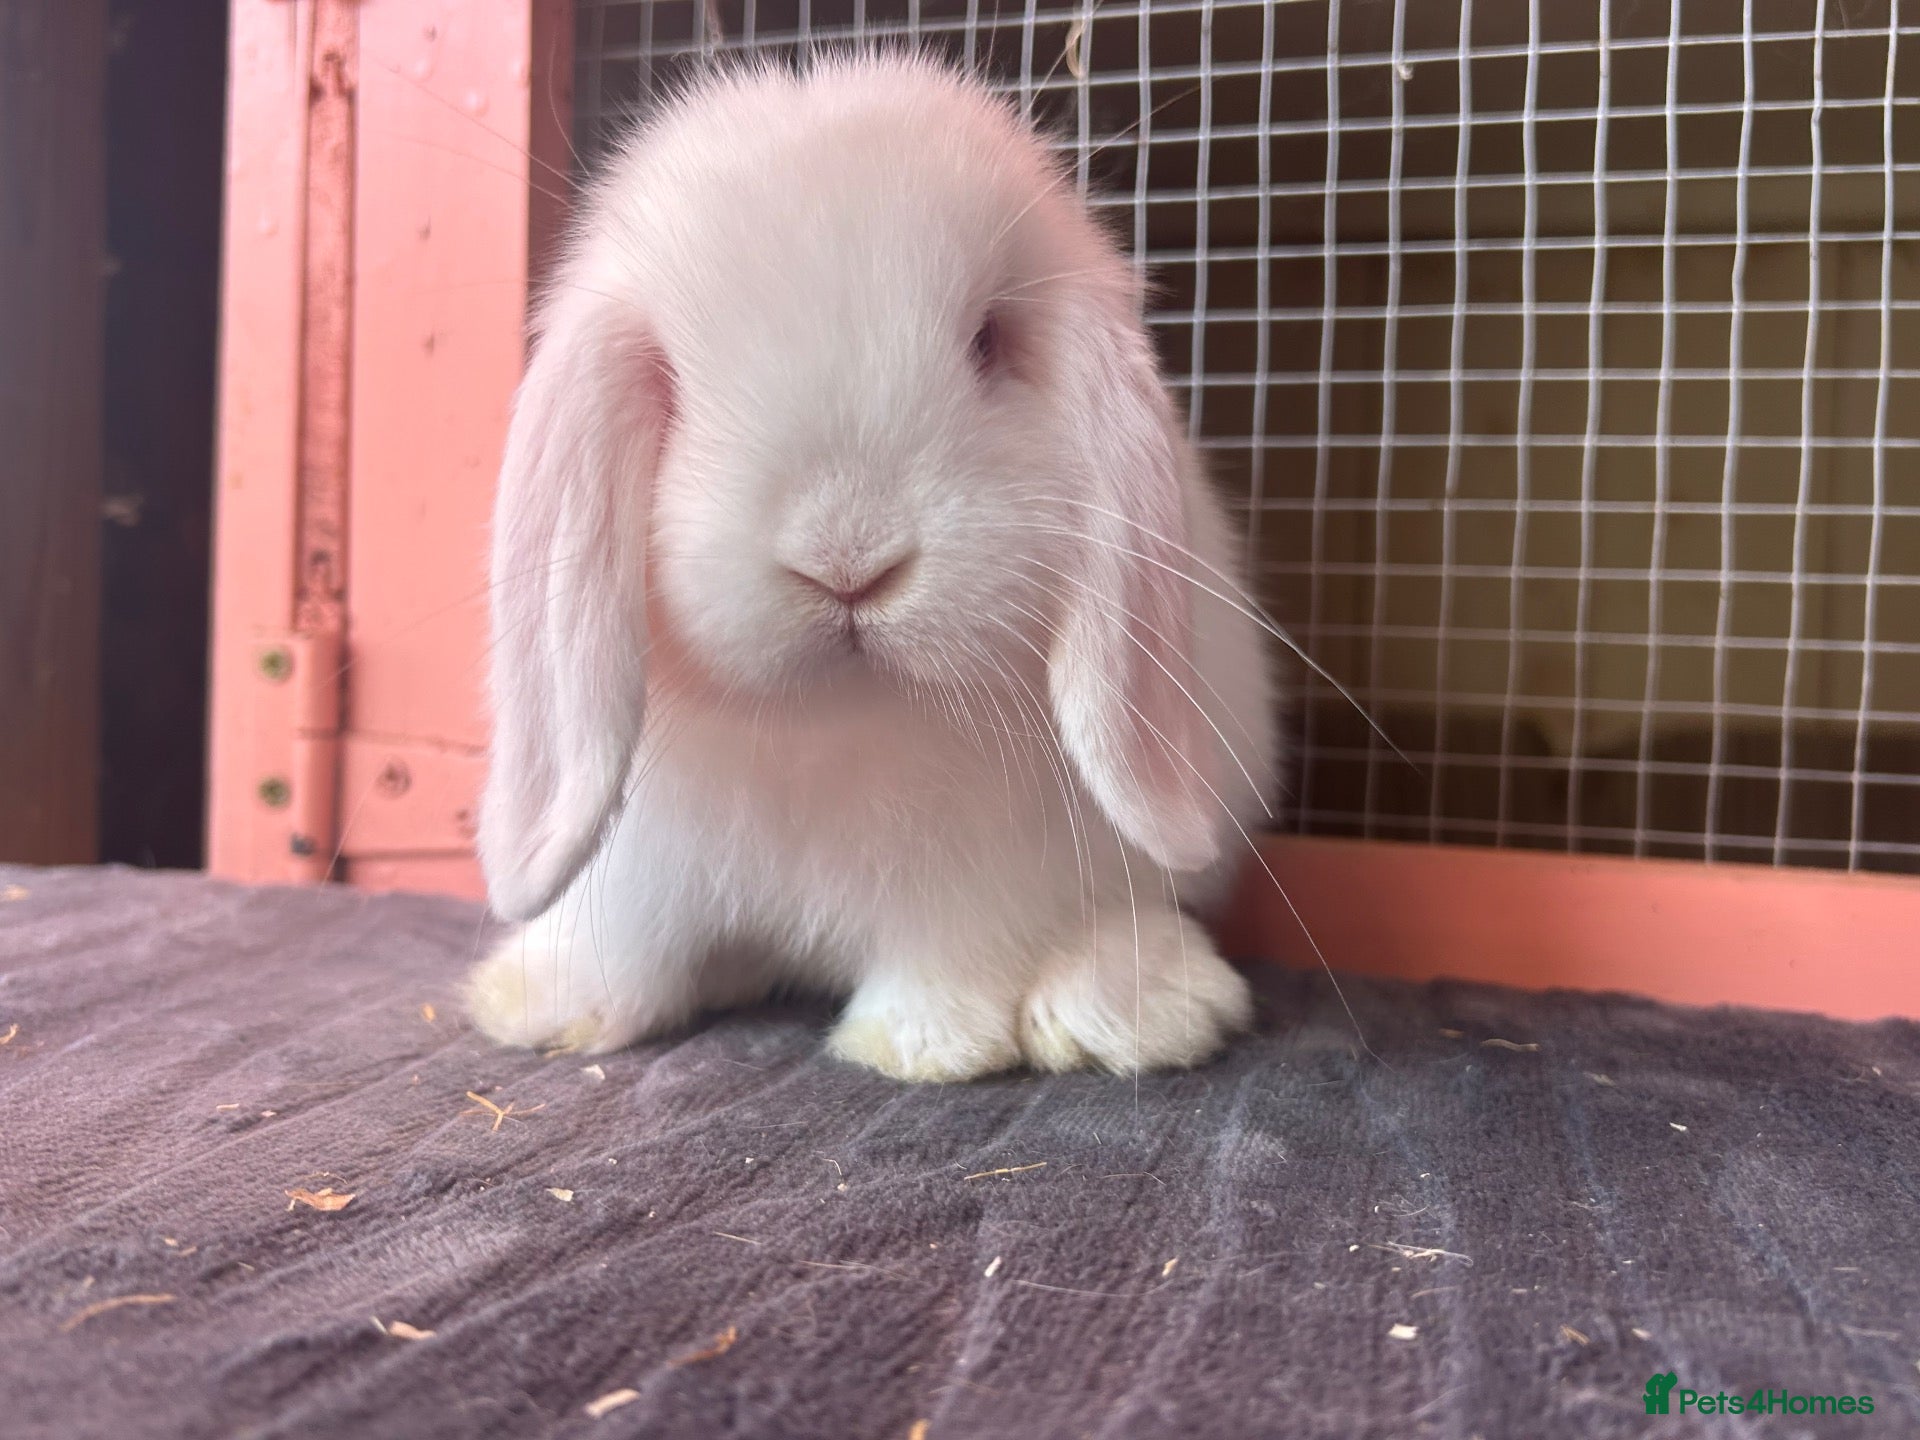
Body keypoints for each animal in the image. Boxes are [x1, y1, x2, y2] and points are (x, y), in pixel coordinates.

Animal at [465, 52, 1279, 1082]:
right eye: (672, 381)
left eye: (987, 340)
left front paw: (923, 1048)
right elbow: (632, 947)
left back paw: (1126, 1008)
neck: (836, 721)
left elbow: (950, 953)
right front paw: (551, 1012)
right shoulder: (636, 877)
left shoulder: (982, 884)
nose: (846, 561)